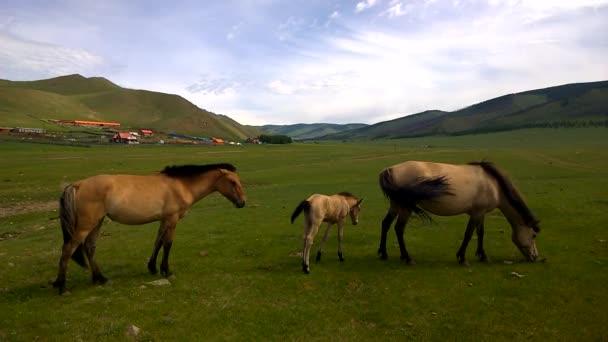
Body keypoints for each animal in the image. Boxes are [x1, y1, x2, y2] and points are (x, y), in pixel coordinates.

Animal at [52, 163, 246, 294]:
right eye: (232, 182)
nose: (242, 203)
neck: (181, 185)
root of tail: (78, 184)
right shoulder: (172, 219)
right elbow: (168, 244)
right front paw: (167, 271)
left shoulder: (163, 220)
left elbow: (158, 242)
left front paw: (152, 268)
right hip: (87, 225)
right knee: (68, 249)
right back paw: (62, 287)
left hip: (97, 222)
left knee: (89, 247)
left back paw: (100, 279)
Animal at [378, 161, 540, 264]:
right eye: (533, 235)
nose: (535, 257)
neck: (494, 185)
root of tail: (390, 169)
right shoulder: (477, 213)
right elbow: (469, 234)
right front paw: (462, 258)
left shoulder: (481, 213)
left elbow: (480, 233)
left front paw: (482, 256)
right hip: (406, 207)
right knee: (399, 229)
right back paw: (407, 258)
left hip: (396, 205)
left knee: (386, 224)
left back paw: (384, 254)